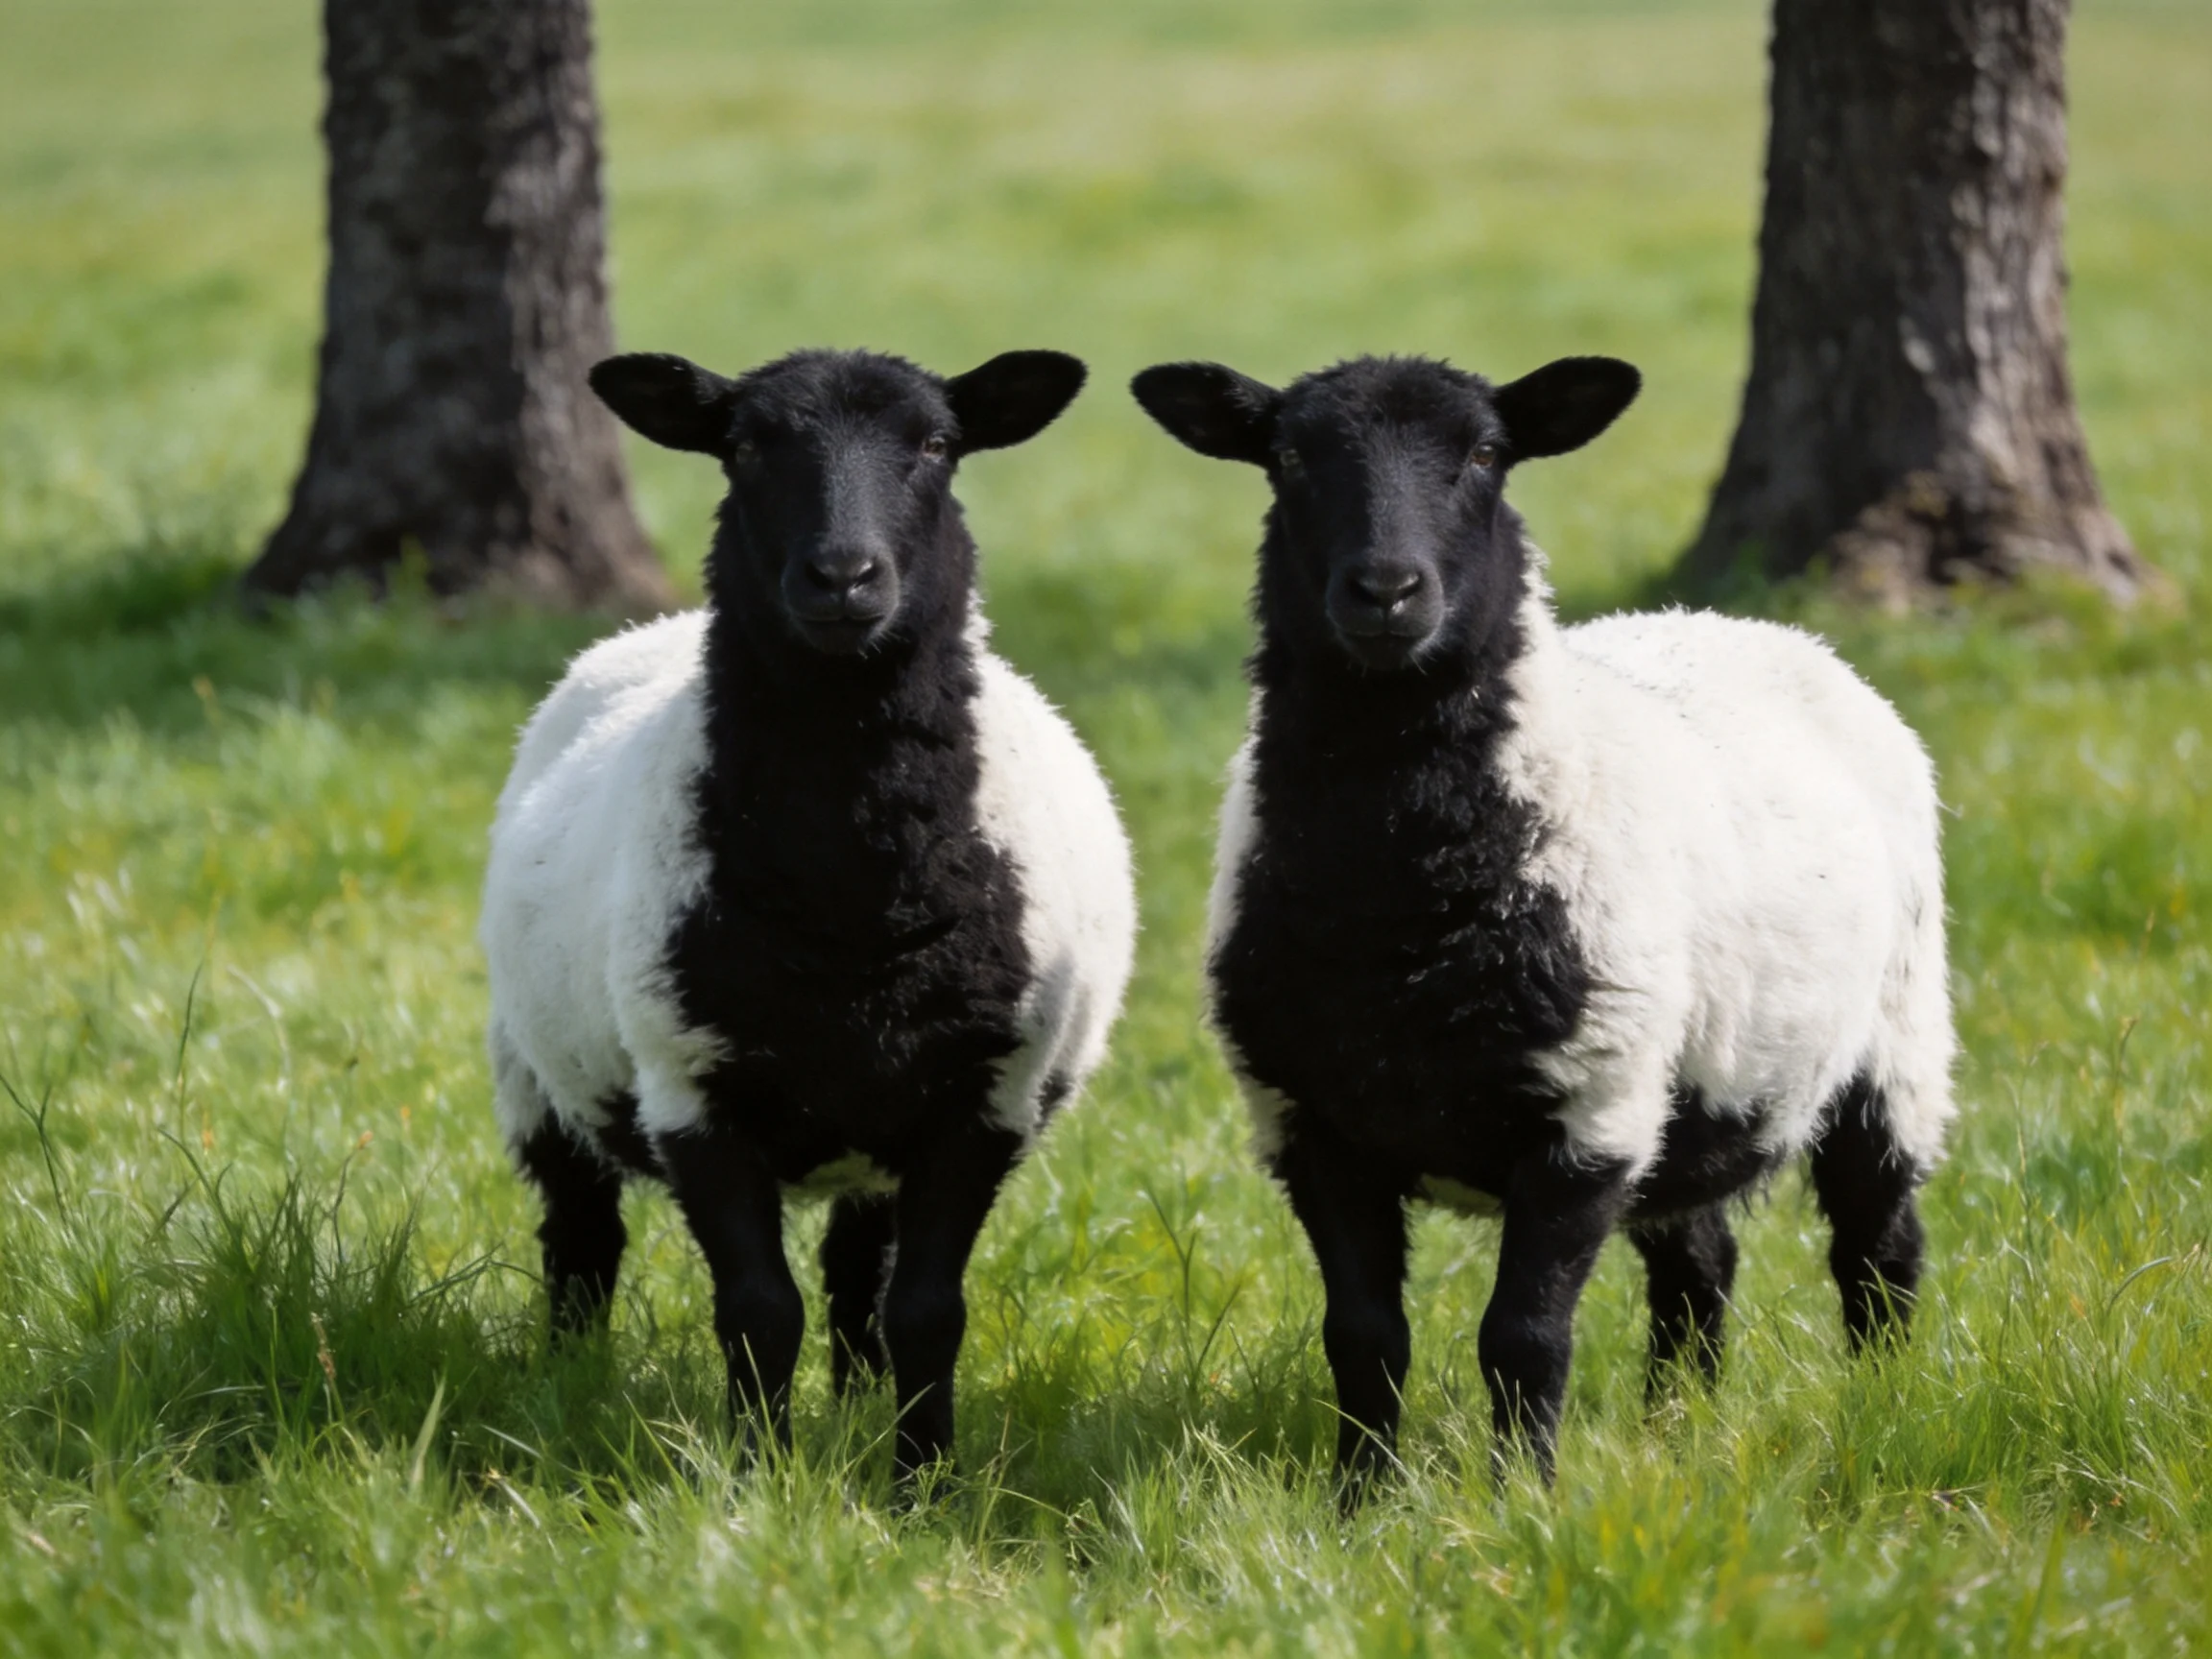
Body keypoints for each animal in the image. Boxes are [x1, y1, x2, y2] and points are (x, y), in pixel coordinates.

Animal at [481, 346, 1136, 1486]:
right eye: (744, 446)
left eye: (937, 444)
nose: (842, 578)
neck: (852, 901)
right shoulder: (693, 1088)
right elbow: (757, 1313)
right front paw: (758, 1480)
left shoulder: (981, 1099)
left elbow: (926, 1314)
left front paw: (922, 1486)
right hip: (535, 1069)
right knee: (580, 1238)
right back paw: (568, 1383)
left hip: (875, 1125)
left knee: (855, 1272)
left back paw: (862, 1403)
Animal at [1131, 352, 1954, 1490]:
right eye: (1287, 456)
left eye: (1487, 453)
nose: (1386, 592)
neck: (1399, 902)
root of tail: (1744, 623)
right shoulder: (1310, 1120)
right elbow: (1363, 1337)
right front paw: (1360, 1501)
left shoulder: (1588, 1111)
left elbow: (1522, 1338)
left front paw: (1519, 1498)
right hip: (1690, 1082)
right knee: (1701, 1260)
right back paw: (1677, 1423)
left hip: (1896, 1031)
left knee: (1878, 1246)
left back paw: (1883, 1400)